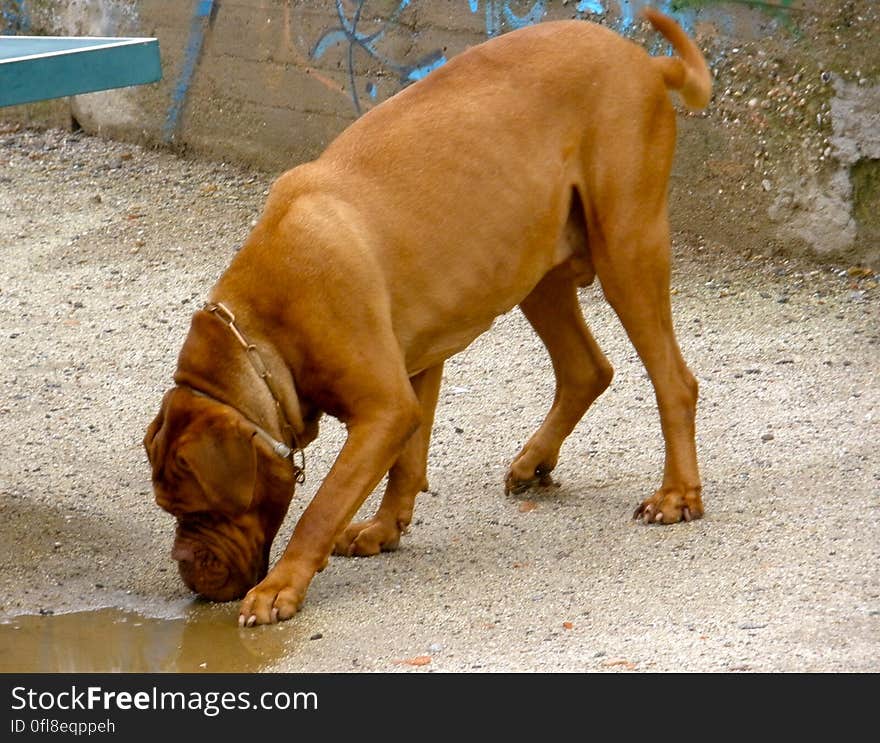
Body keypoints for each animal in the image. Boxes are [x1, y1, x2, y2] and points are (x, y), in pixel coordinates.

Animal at [141, 11, 712, 628]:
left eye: (200, 505)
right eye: (168, 506)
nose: (185, 571)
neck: (262, 332)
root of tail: (643, 60)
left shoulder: (383, 410)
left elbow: (322, 507)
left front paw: (280, 587)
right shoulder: (416, 371)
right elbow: (406, 463)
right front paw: (385, 528)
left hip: (627, 251)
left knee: (673, 381)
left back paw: (678, 495)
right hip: (535, 270)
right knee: (587, 369)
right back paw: (536, 460)